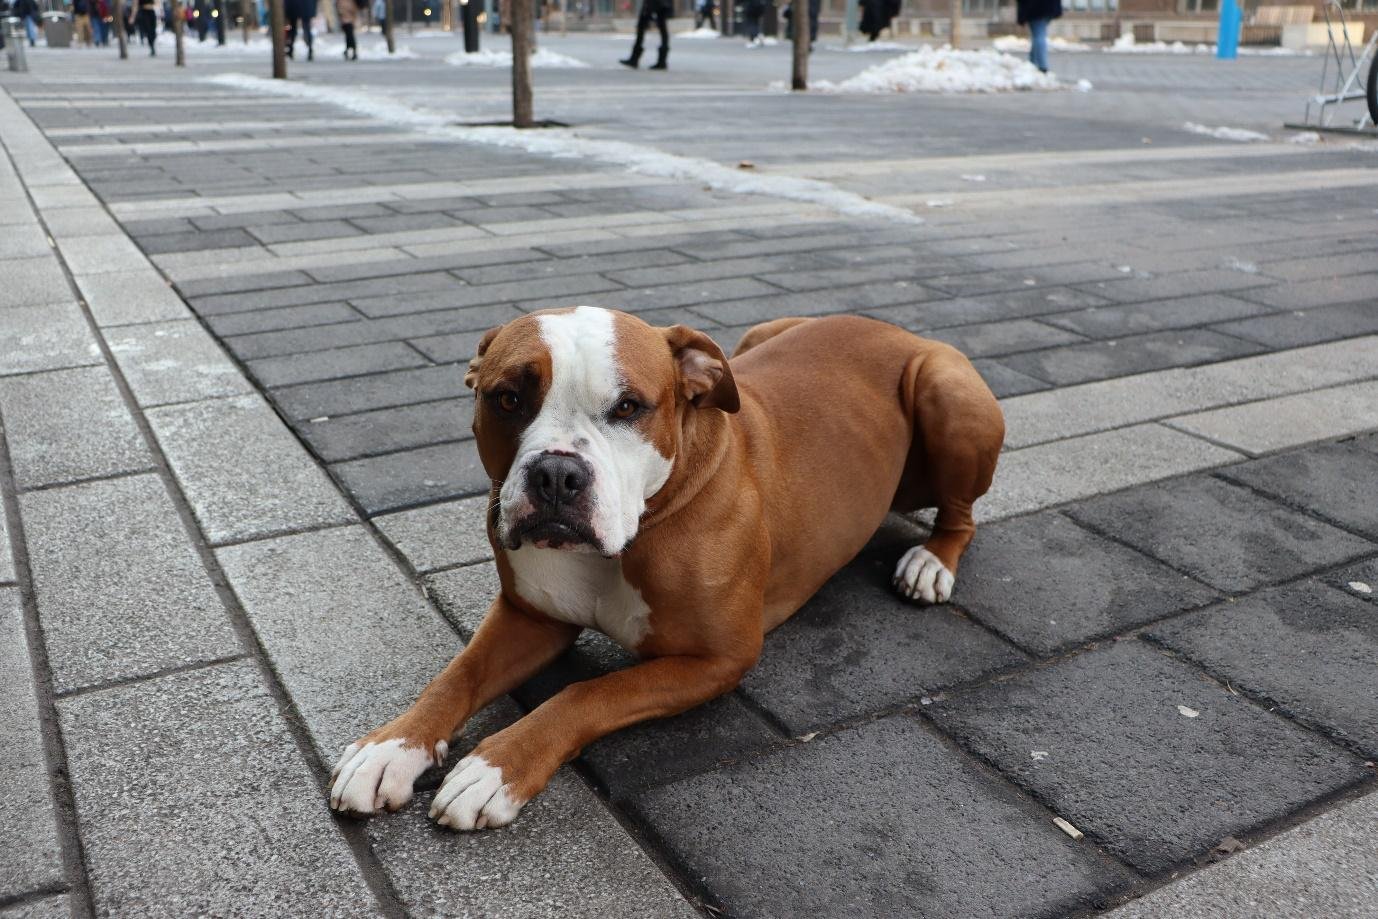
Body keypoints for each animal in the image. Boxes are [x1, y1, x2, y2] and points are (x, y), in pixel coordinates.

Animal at [329, 308, 1008, 832]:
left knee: (961, 516)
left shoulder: (718, 659)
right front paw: (391, 747)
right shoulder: (529, 616)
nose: (556, 474)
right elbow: (457, 676)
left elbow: (588, 693)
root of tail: (894, 328)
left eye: (629, 406)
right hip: (760, 336)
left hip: (945, 391)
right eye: (507, 398)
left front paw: (495, 769)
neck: (638, 530)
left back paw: (930, 564)